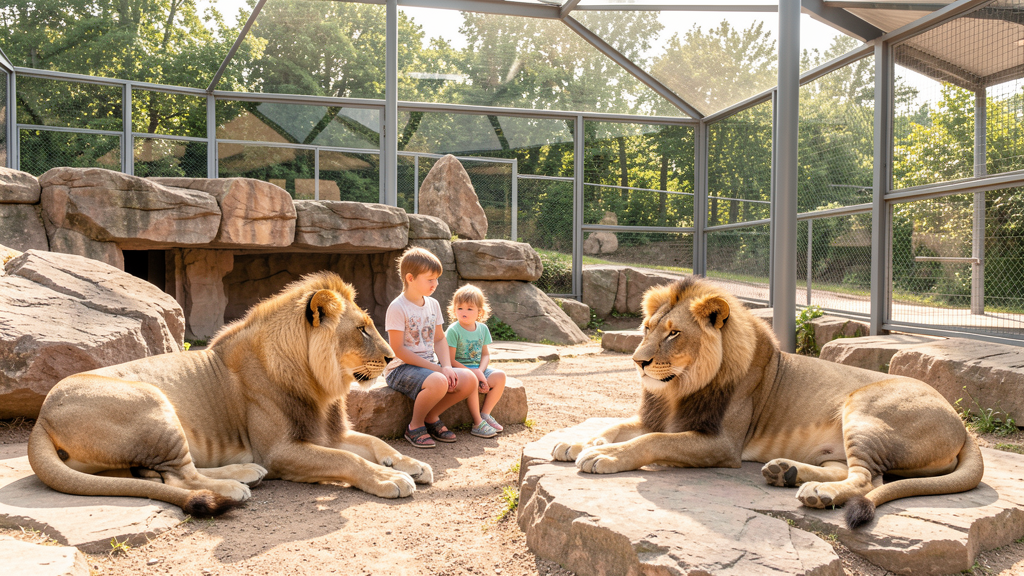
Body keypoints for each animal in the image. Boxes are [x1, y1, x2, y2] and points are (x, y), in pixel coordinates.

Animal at [28, 272, 433, 516]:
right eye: (362, 329)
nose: (391, 357)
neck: (320, 385)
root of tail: (41, 418)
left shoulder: (327, 432)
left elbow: (375, 444)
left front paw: (411, 464)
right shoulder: (279, 452)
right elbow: (348, 461)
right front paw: (390, 480)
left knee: (157, 475)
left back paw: (245, 473)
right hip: (153, 401)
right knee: (182, 478)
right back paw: (235, 487)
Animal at [552, 276, 983, 528]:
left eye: (674, 334)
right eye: (646, 328)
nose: (637, 361)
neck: (678, 389)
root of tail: (962, 424)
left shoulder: (722, 444)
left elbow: (649, 441)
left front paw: (602, 456)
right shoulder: (659, 416)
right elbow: (616, 426)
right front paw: (575, 443)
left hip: (863, 409)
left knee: (868, 479)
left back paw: (817, 494)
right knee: (849, 471)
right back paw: (786, 473)